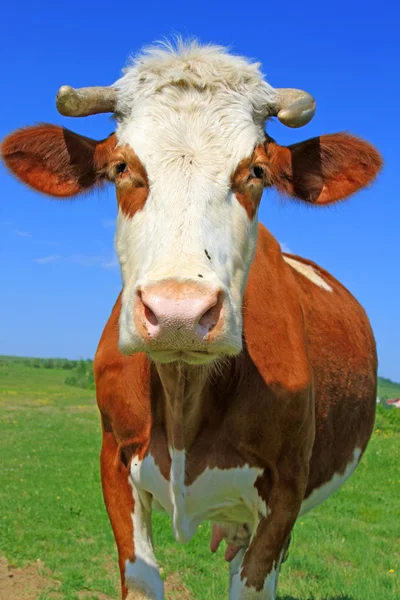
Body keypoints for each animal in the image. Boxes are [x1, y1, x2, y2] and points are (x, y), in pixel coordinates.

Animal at [2, 42, 384, 600]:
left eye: (257, 171)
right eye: (120, 166)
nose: (178, 313)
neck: (185, 395)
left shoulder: (285, 493)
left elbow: (253, 580)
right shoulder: (113, 459)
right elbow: (141, 578)